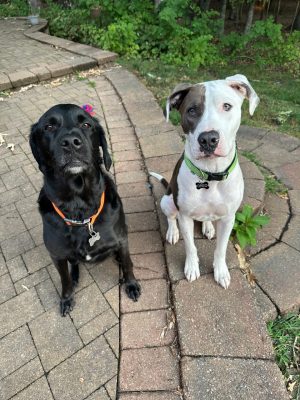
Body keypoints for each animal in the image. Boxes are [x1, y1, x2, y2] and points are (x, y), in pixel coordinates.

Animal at [29, 103, 140, 316]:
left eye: (86, 124)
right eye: (49, 127)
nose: (71, 142)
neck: (80, 211)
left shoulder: (122, 240)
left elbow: (128, 264)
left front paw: (131, 284)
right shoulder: (56, 255)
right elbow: (63, 279)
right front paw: (66, 298)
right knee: (73, 265)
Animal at [151, 74, 258, 288]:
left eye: (227, 106)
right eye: (192, 110)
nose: (208, 139)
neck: (211, 174)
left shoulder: (228, 219)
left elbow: (221, 249)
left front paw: (221, 271)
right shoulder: (185, 217)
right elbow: (191, 247)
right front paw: (192, 268)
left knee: (206, 219)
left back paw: (208, 227)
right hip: (167, 201)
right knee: (171, 218)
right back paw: (172, 232)